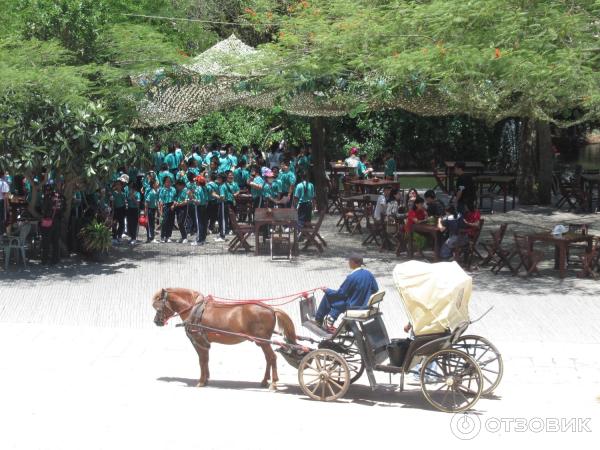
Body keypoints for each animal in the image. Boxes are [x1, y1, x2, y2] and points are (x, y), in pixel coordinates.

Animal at [152, 288, 298, 390]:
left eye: (158, 306)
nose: (156, 321)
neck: (194, 309)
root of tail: (271, 308)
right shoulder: (204, 343)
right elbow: (206, 360)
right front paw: (206, 379)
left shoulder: (198, 341)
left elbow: (201, 360)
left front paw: (201, 381)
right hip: (261, 342)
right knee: (268, 359)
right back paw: (264, 381)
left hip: (263, 341)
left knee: (272, 358)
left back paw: (273, 383)